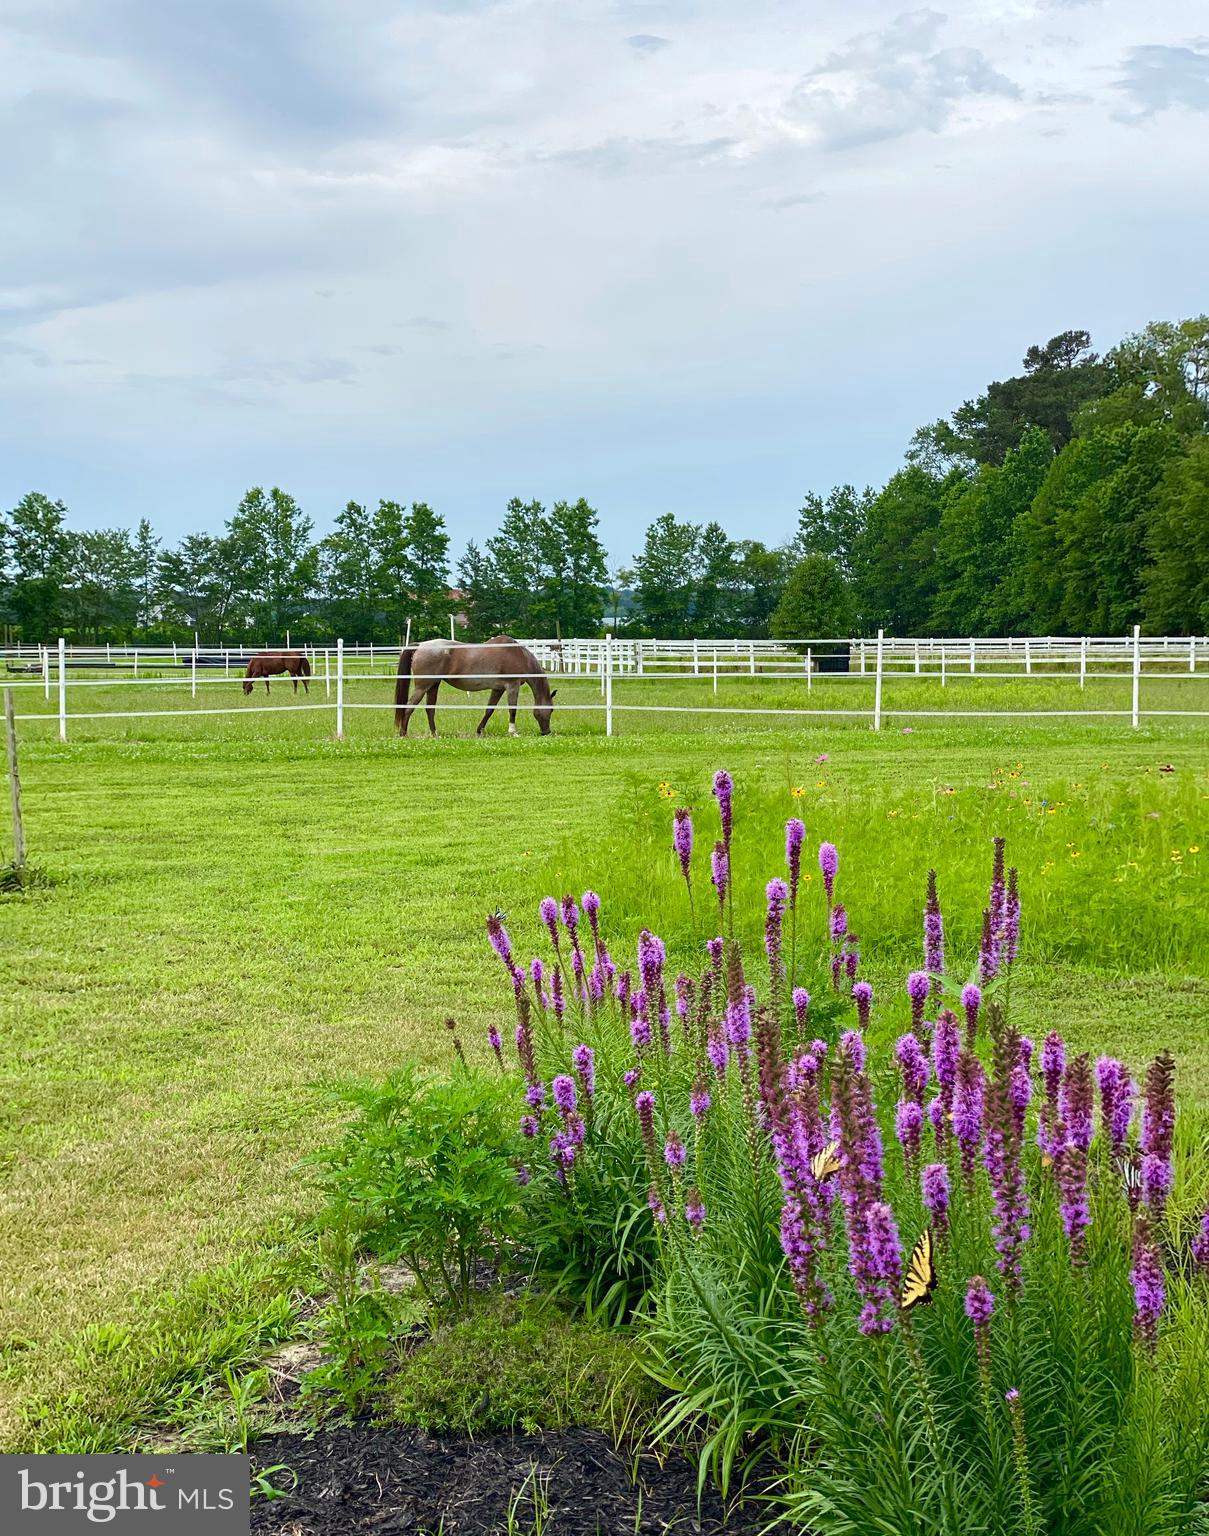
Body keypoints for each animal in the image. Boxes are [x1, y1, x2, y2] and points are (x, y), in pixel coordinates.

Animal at [394, 635, 557, 737]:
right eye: (551, 710)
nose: (546, 732)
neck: (518, 655)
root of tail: (420, 646)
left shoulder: (498, 689)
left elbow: (489, 710)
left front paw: (480, 731)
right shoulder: (512, 686)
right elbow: (512, 710)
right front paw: (513, 732)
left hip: (433, 685)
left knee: (430, 710)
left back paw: (435, 734)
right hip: (422, 687)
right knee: (408, 708)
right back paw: (404, 734)